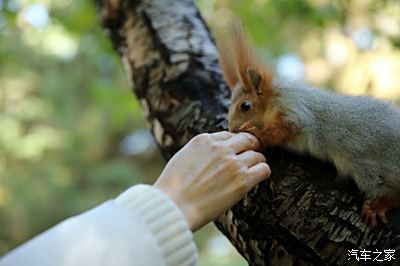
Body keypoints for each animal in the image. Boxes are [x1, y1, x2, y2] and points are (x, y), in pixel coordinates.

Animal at [220, 23, 400, 227]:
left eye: (245, 106)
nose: (231, 128)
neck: (273, 102)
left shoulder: (296, 110)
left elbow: (285, 129)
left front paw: (257, 132)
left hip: (366, 166)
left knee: (392, 192)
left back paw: (380, 204)